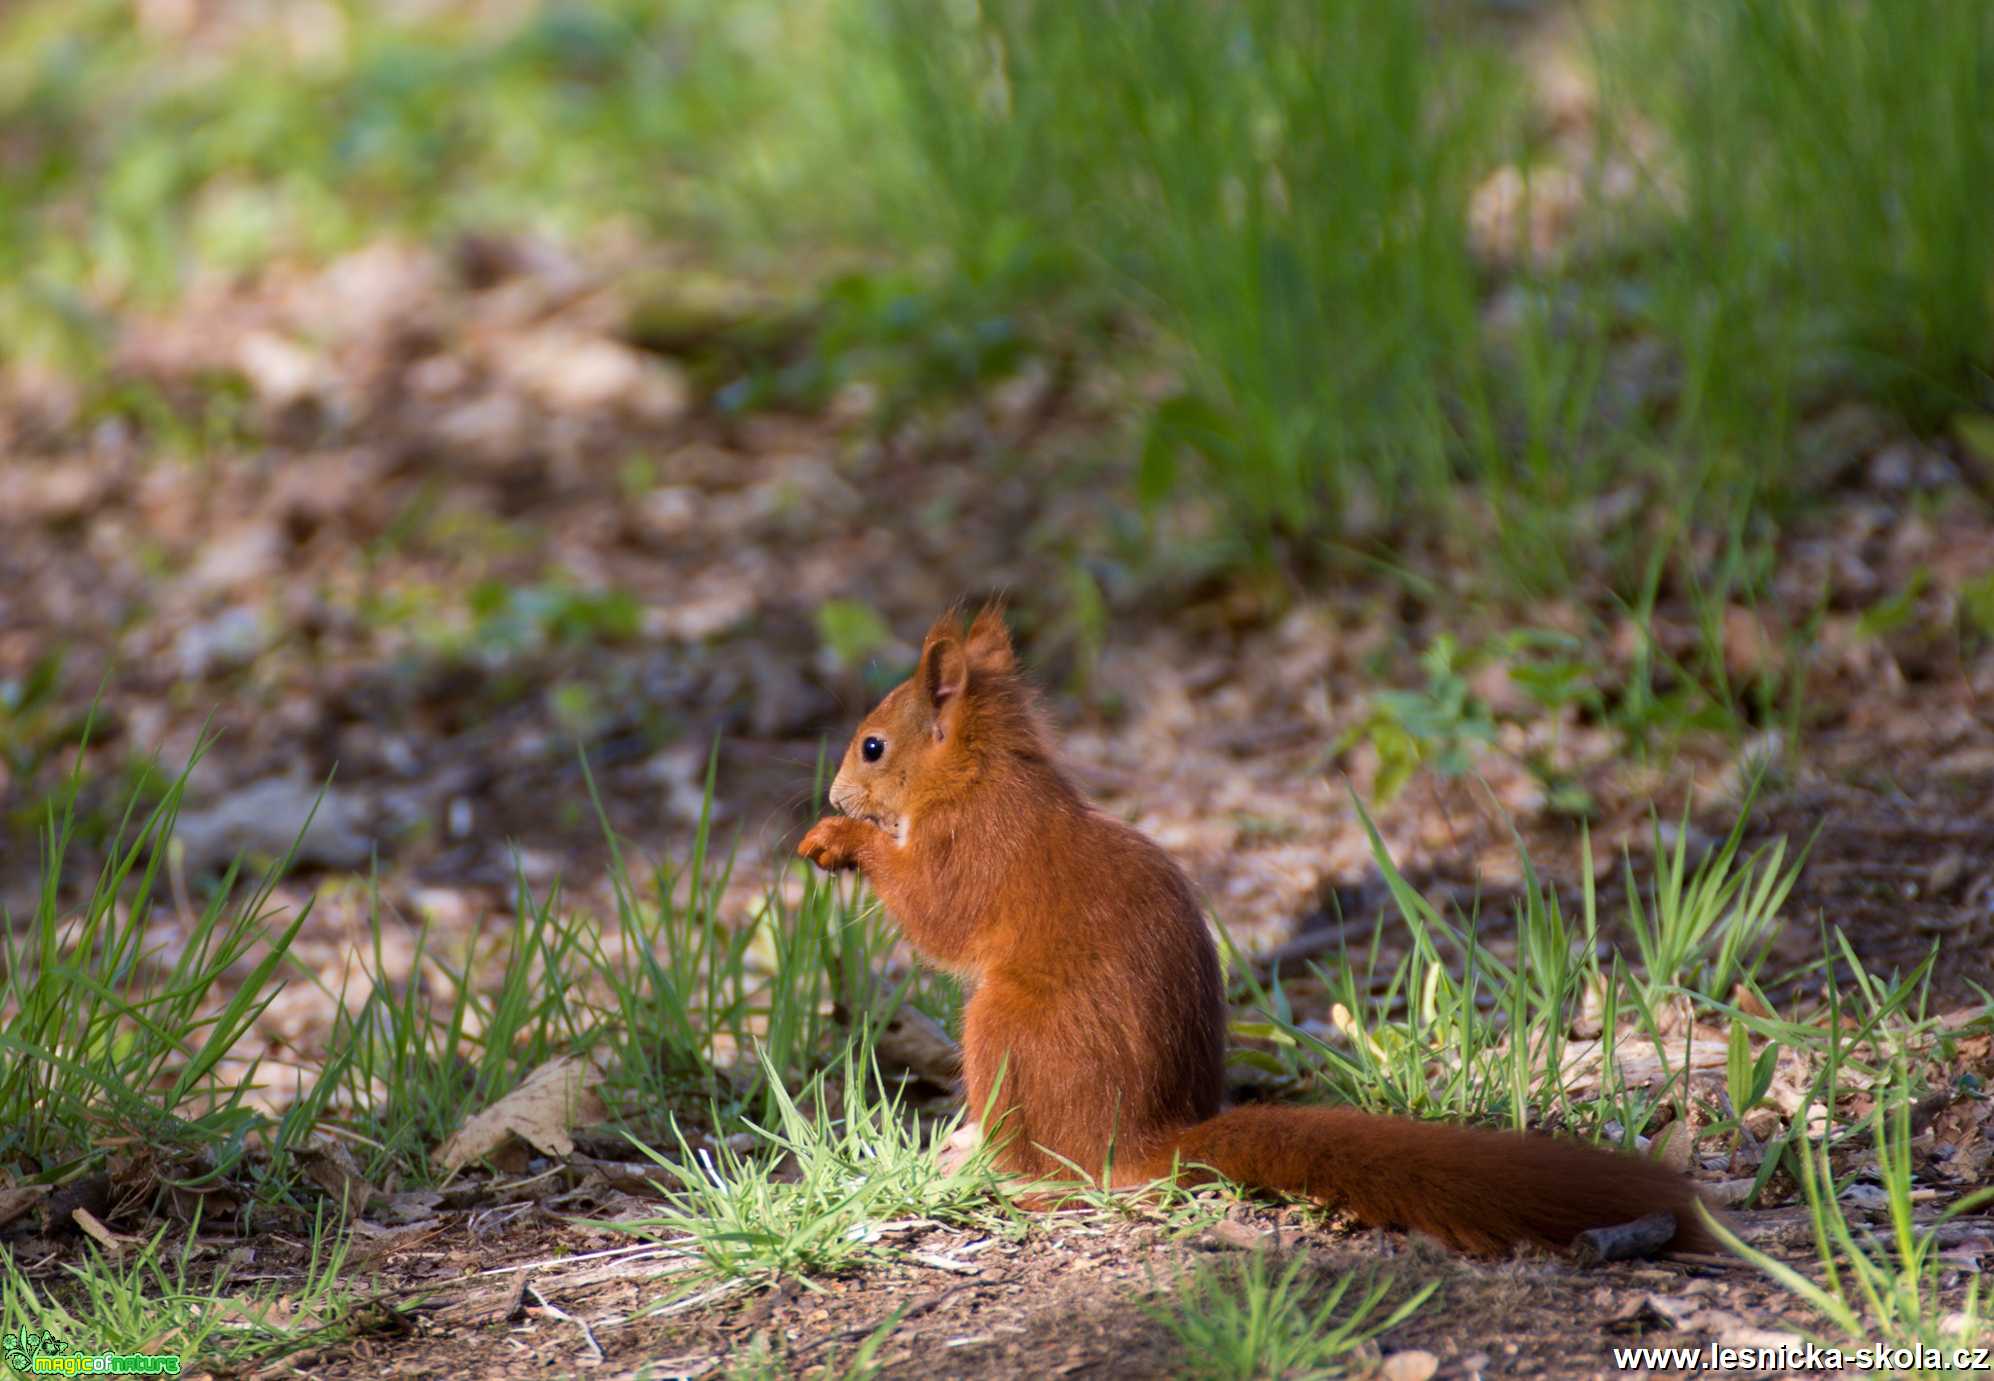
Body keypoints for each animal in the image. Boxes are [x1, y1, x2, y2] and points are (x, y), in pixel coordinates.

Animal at [793, 601, 1714, 1251]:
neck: (981, 775)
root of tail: (1152, 1136)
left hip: (1004, 1030)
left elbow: (934, 915)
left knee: (1060, 1169)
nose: (835, 794)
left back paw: (991, 1167)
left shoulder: (973, 847)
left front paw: (840, 841)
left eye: (872, 746)